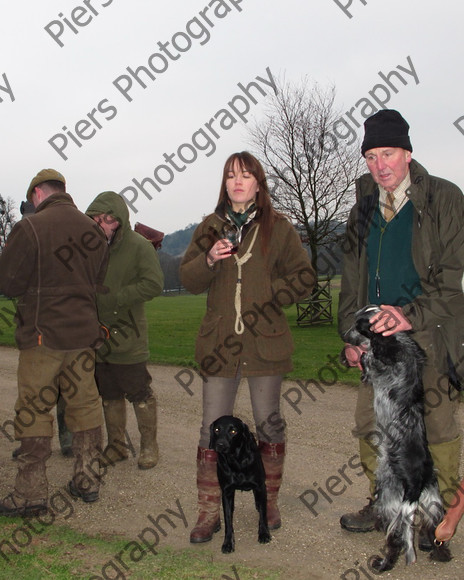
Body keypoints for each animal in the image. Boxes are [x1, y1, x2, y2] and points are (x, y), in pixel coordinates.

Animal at [208, 416, 270, 552]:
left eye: (233, 431)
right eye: (216, 430)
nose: (220, 445)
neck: (236, 462)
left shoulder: (260, 486)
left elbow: (263, 514)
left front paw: (264, 533)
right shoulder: (226, 492)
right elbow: (228, 521)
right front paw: (228, 543)